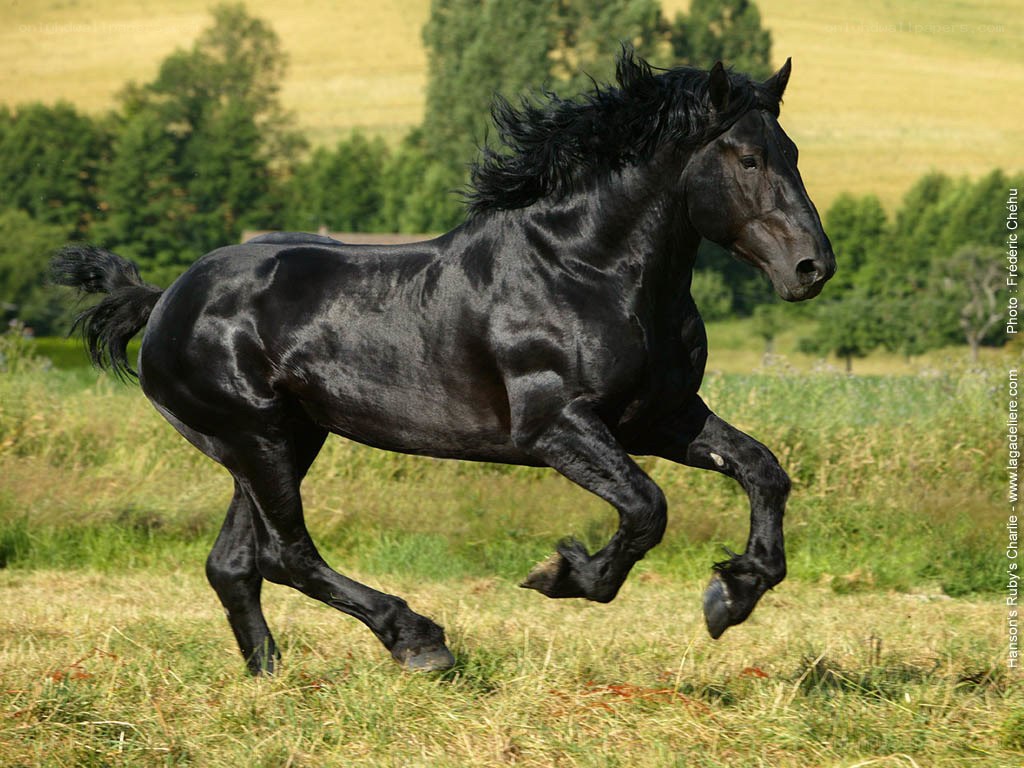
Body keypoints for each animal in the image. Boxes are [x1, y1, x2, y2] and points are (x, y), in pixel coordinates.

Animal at [53, 50, 835, 675]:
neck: (586, 269)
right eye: (748, 159)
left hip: (284, 438)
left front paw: (732, 593)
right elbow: (648, 506)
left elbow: (763, 469)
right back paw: (419, 639)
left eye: (794, 152)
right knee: (284, 554)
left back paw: (270, 675)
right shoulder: (558, 428)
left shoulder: (661, 419)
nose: (812, 267)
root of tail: (163, 301)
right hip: (256, 437)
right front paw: (564, 575)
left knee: (236, 562)